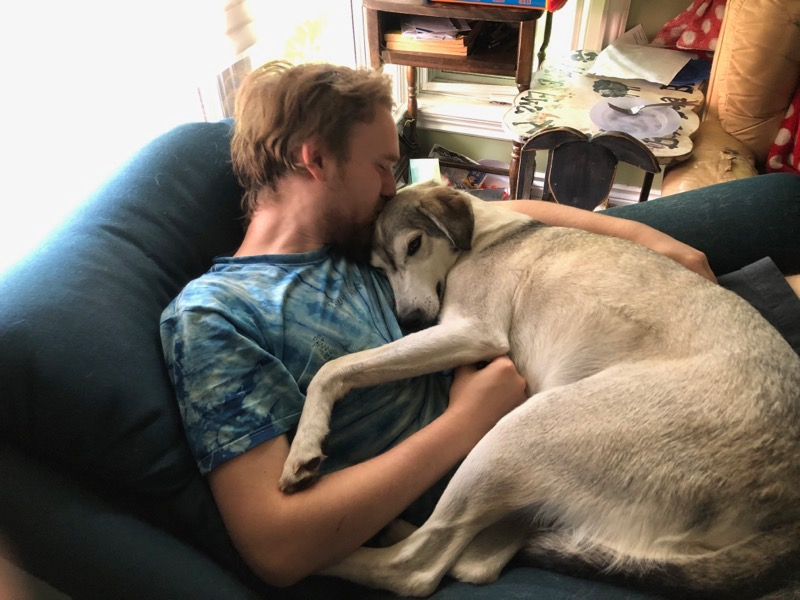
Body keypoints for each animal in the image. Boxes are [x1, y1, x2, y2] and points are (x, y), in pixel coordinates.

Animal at [280, 182, 800, 596]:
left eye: (413, 245)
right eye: (379, 268)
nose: (407, 321)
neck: (479, 238)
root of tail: (787, 519)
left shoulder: (474, 331)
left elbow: (336, 368)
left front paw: (302, 449)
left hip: (517, 434)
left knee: (418, 568)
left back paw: (332, 561)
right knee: (474, 561)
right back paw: (394, 530)